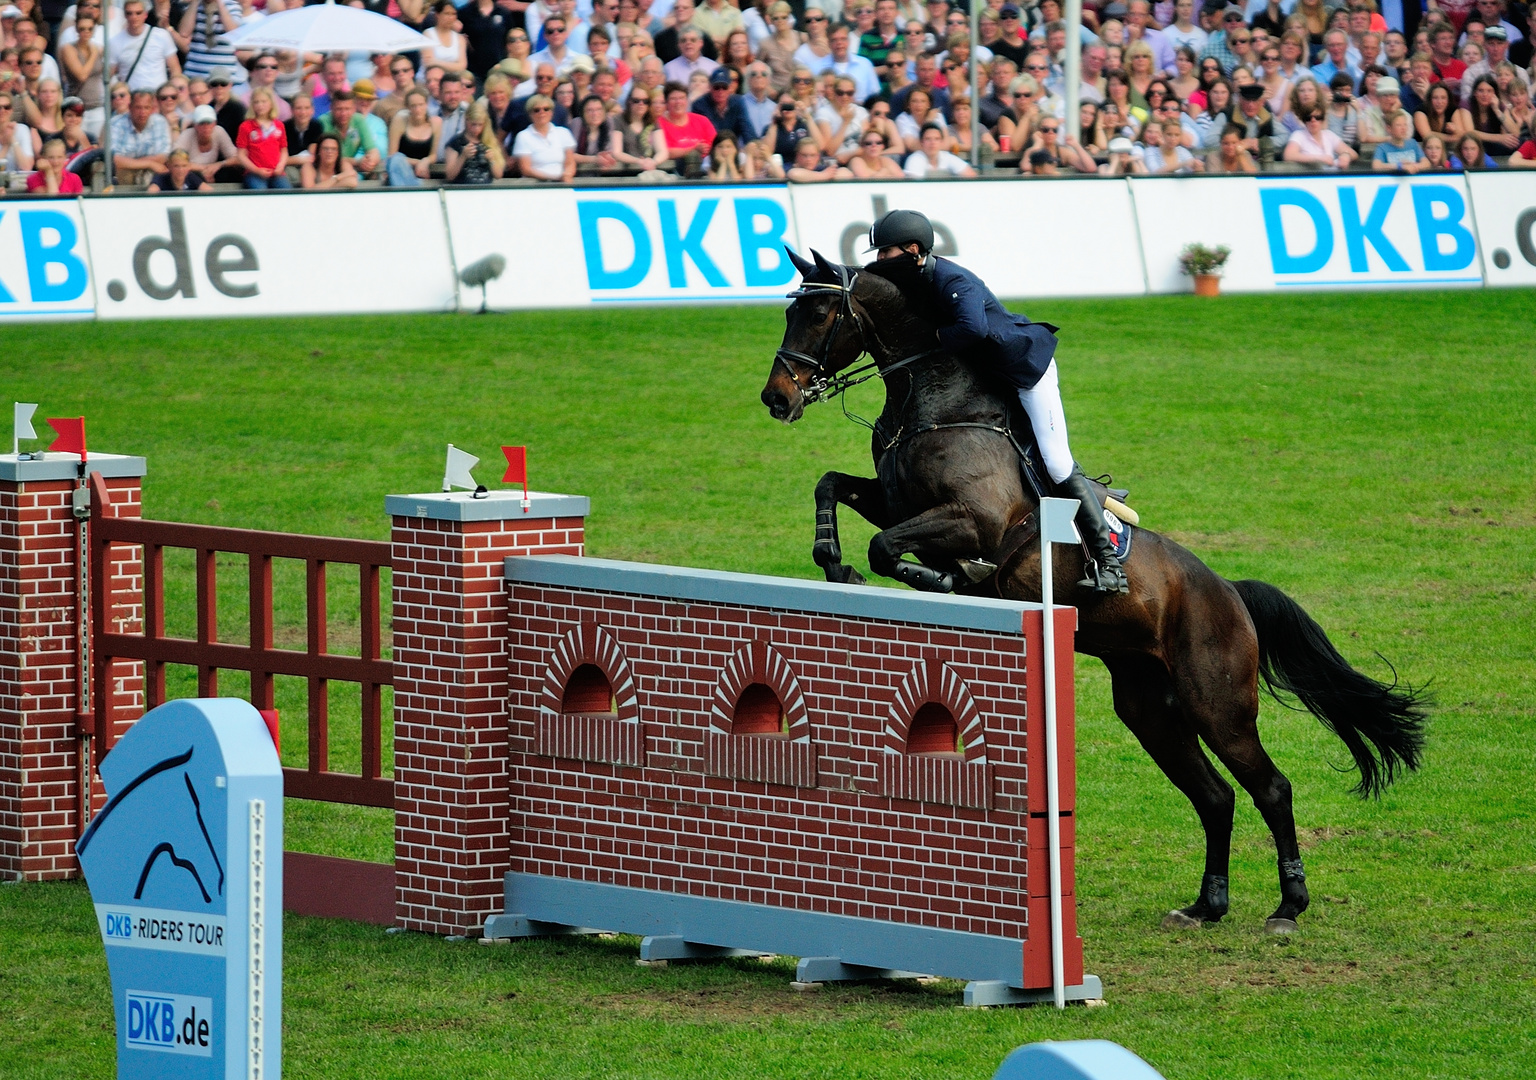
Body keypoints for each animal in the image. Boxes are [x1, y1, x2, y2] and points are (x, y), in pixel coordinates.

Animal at [755, 248, 1425, 934]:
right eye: (790, 310)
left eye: (819, 313)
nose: (776, 397)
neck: (933, 399)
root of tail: (1230, 594)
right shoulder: (894, 501)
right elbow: (834, 488)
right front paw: (832, 562)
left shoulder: (971, 520)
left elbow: (887, 547)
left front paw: (947, 579)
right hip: (1149, 706)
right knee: (1214, 797)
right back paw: (1206, 906)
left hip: (1217, 705)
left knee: (1270, 788)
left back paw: (1288, 906)